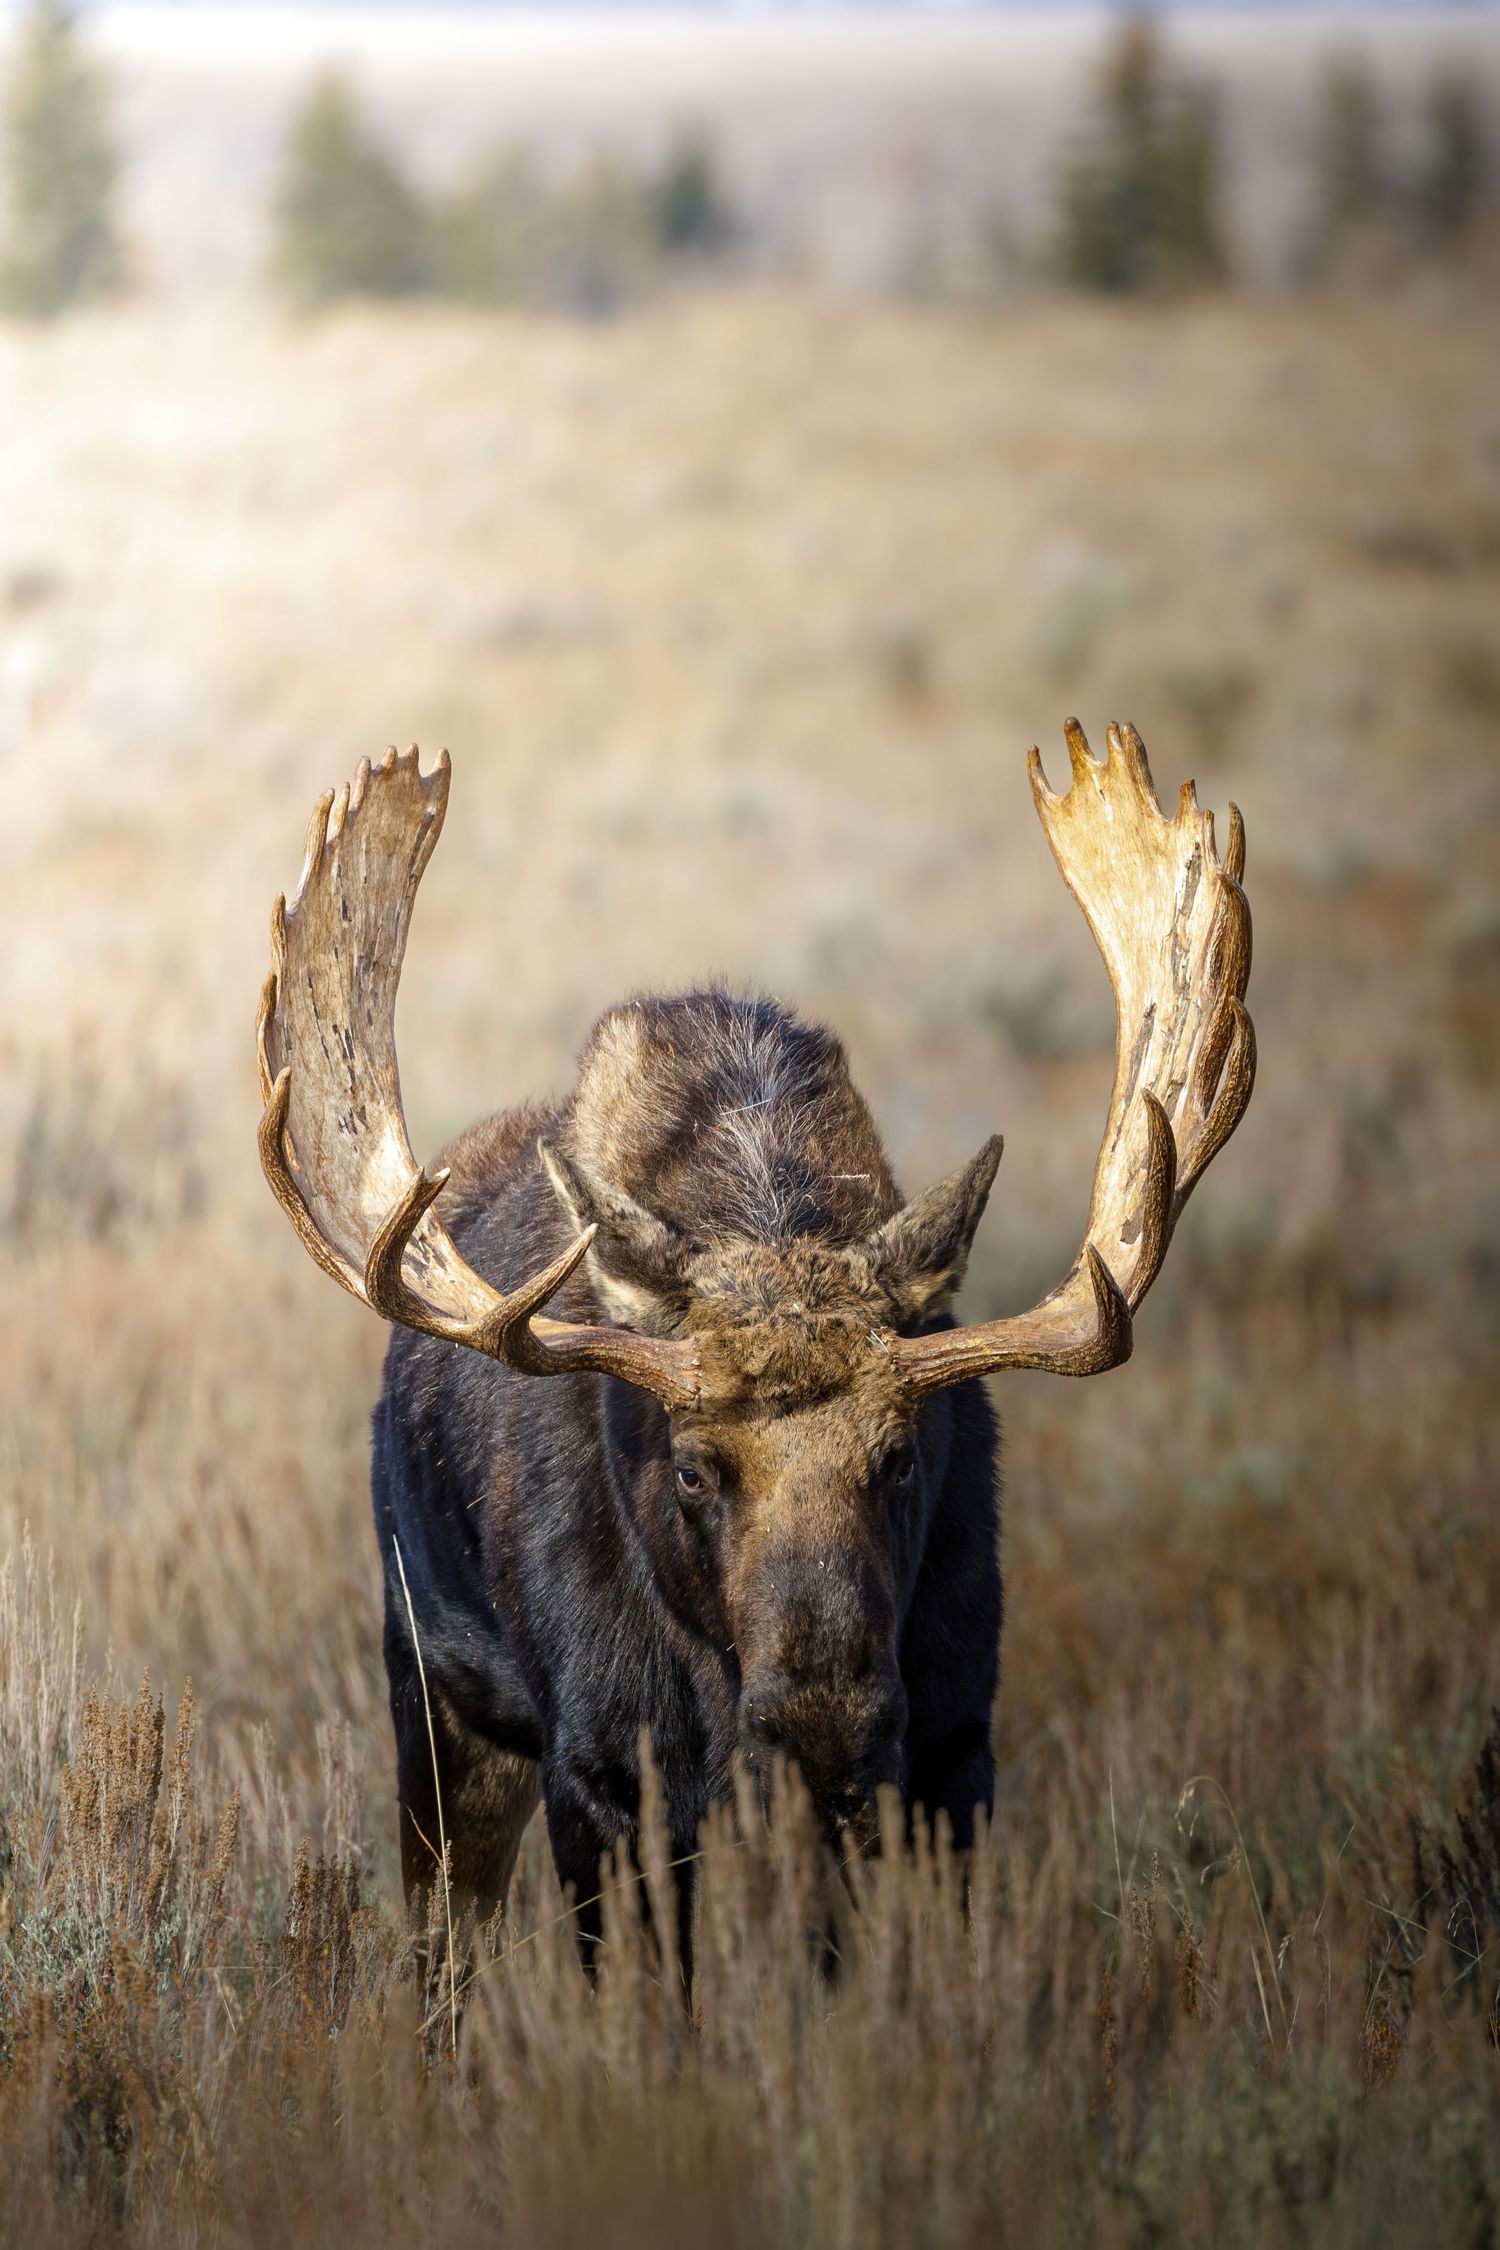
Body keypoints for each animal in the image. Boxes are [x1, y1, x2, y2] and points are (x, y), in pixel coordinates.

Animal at [256, 720, 1253, 1972]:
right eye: (691, 1469)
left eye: (903, 1457)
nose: (824, 1719)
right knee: (444, 1954)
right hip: (437, 1706)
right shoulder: (606, 1780)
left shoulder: (949, 1749)